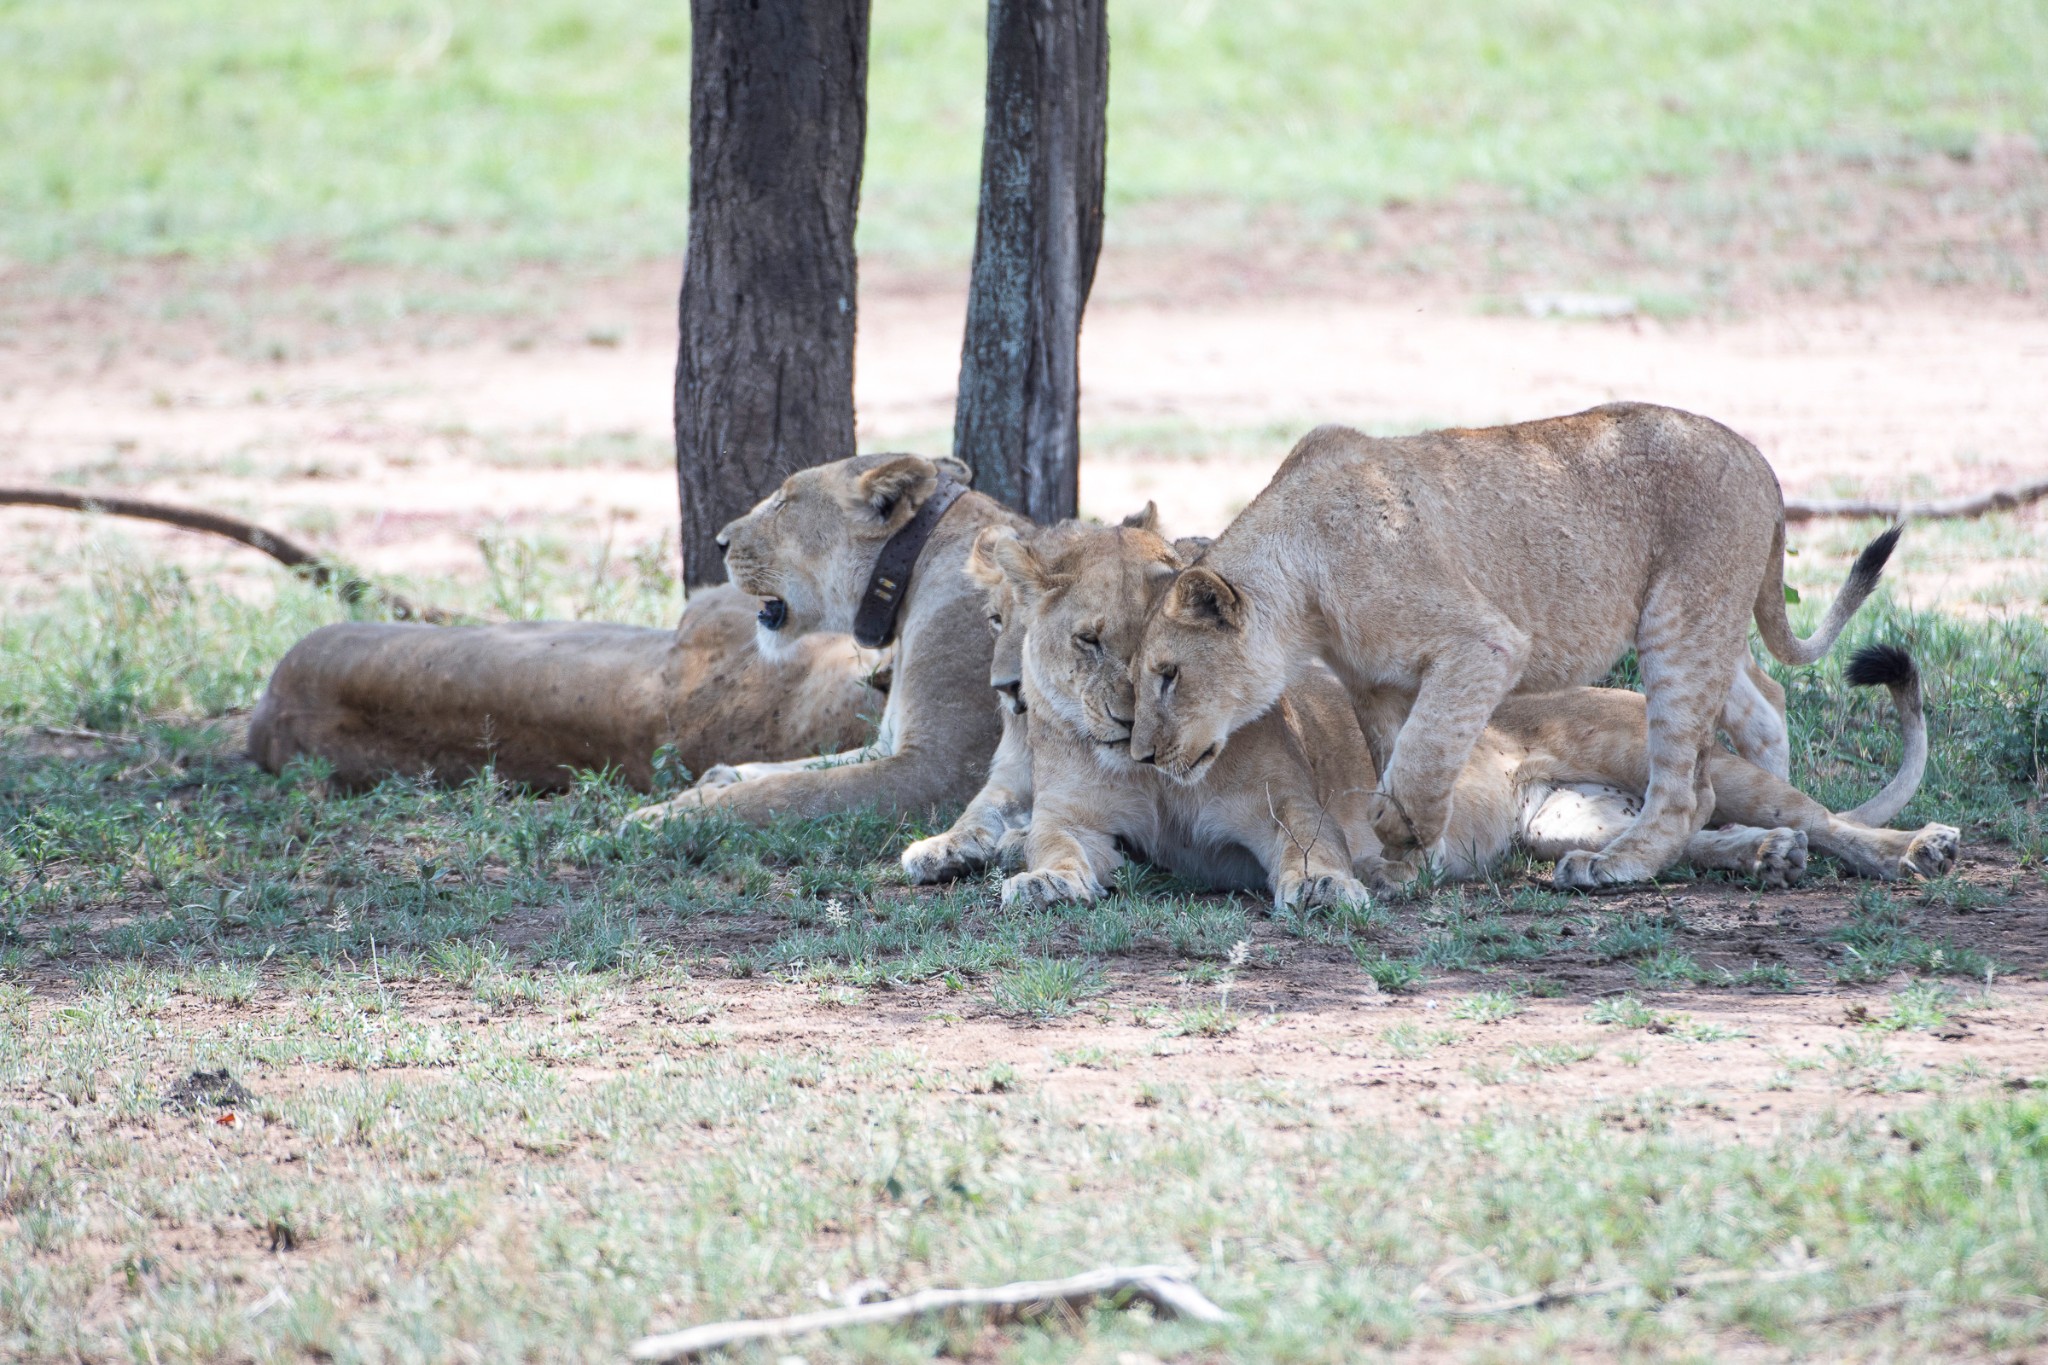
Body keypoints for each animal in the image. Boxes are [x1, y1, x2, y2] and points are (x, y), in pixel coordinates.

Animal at [921, 511, 1957, 908]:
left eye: (1165, 658)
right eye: (1094, 641)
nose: (1133, 732)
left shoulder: (1289, 808)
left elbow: (1310, 849)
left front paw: (1327, 888)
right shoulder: (1074, 820)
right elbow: (1047, 845)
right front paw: (1038, 882)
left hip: (1647, 741)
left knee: (1799, 812)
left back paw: (1910, 848)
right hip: (1565, 821)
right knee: (1675, 832)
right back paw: (1752, 857)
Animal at [1130, 401, 1892, 892]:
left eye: (1167, 675)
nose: (1142, 755)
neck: (1304, 596)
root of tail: (1757, 457)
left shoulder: (1483, 642)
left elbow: (1424, 752)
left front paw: (1398, 828)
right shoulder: (1379, 684)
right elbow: (1406, 751)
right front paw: (1409, 856)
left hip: (1679, 624)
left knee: (1686, 787)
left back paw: (1618, 864)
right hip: (1699, 622)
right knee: (1765, 704)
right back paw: (1778, 832)